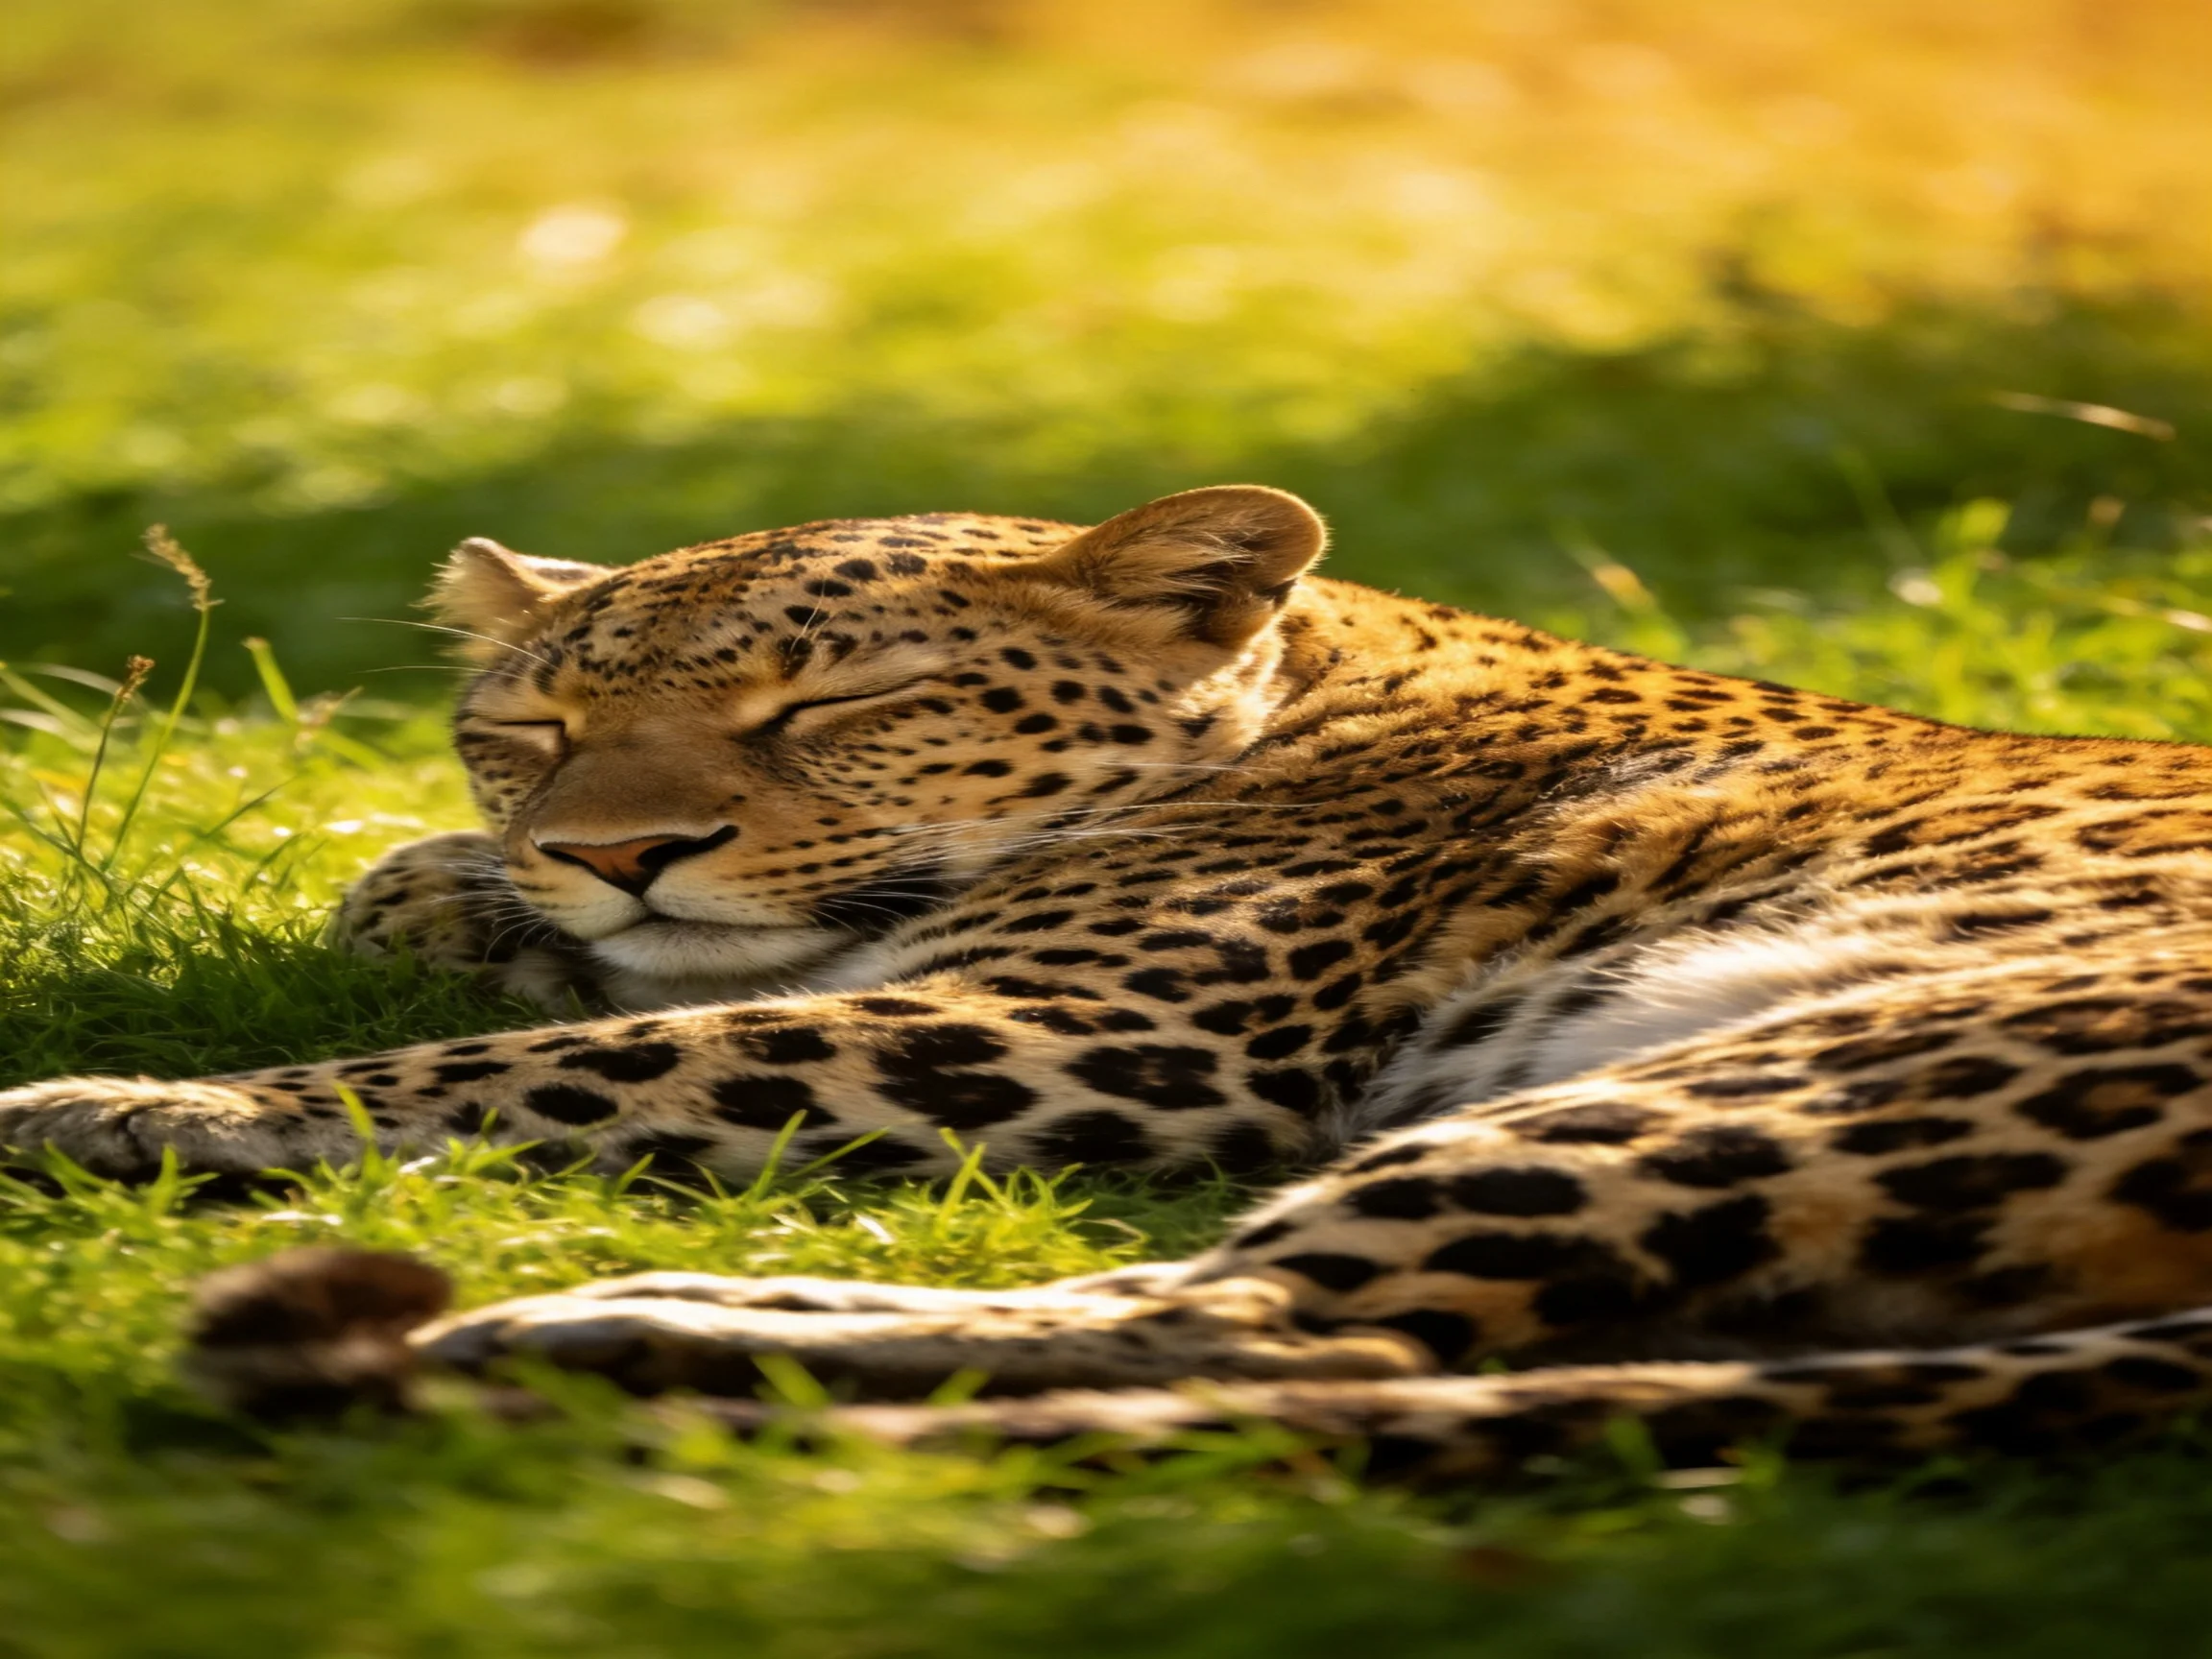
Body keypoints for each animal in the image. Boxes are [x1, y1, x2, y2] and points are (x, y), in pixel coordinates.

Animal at [16, 482, 2212, 1481]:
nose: (613, 848)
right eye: (531, 730)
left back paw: (590, 1325)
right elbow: (562, 995)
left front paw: (131, 1101)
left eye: (836, 705)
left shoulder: (1091, 1034)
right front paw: (439, 893)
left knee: (1288, 1325)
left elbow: (559, 1064)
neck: (1318, 681)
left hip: (1811, 1058)